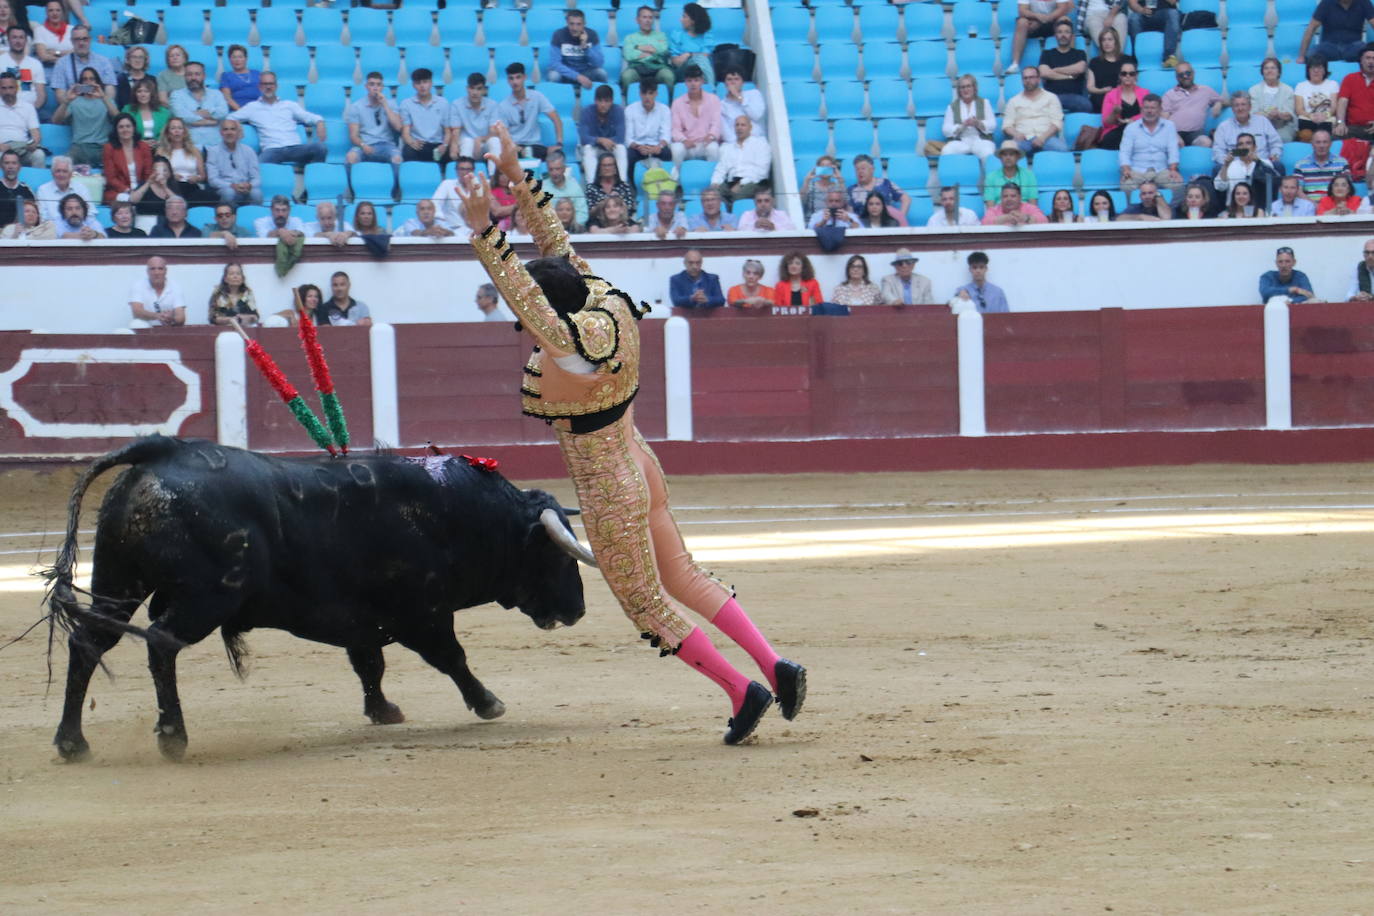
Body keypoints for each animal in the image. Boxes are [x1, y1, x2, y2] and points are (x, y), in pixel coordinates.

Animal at [45, 436, 593, 758]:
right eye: (559, 557)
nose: (579, 609)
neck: (458, 514)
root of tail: (160, 452)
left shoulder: (361, 619)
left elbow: (369, 664)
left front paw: (384, 711)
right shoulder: (424, 614)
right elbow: (451, 658)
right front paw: (489, 703)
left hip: (118, 583)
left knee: (89, 642)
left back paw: (73, 742)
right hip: (203, 599)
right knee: (161, 643)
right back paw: (172, 736)